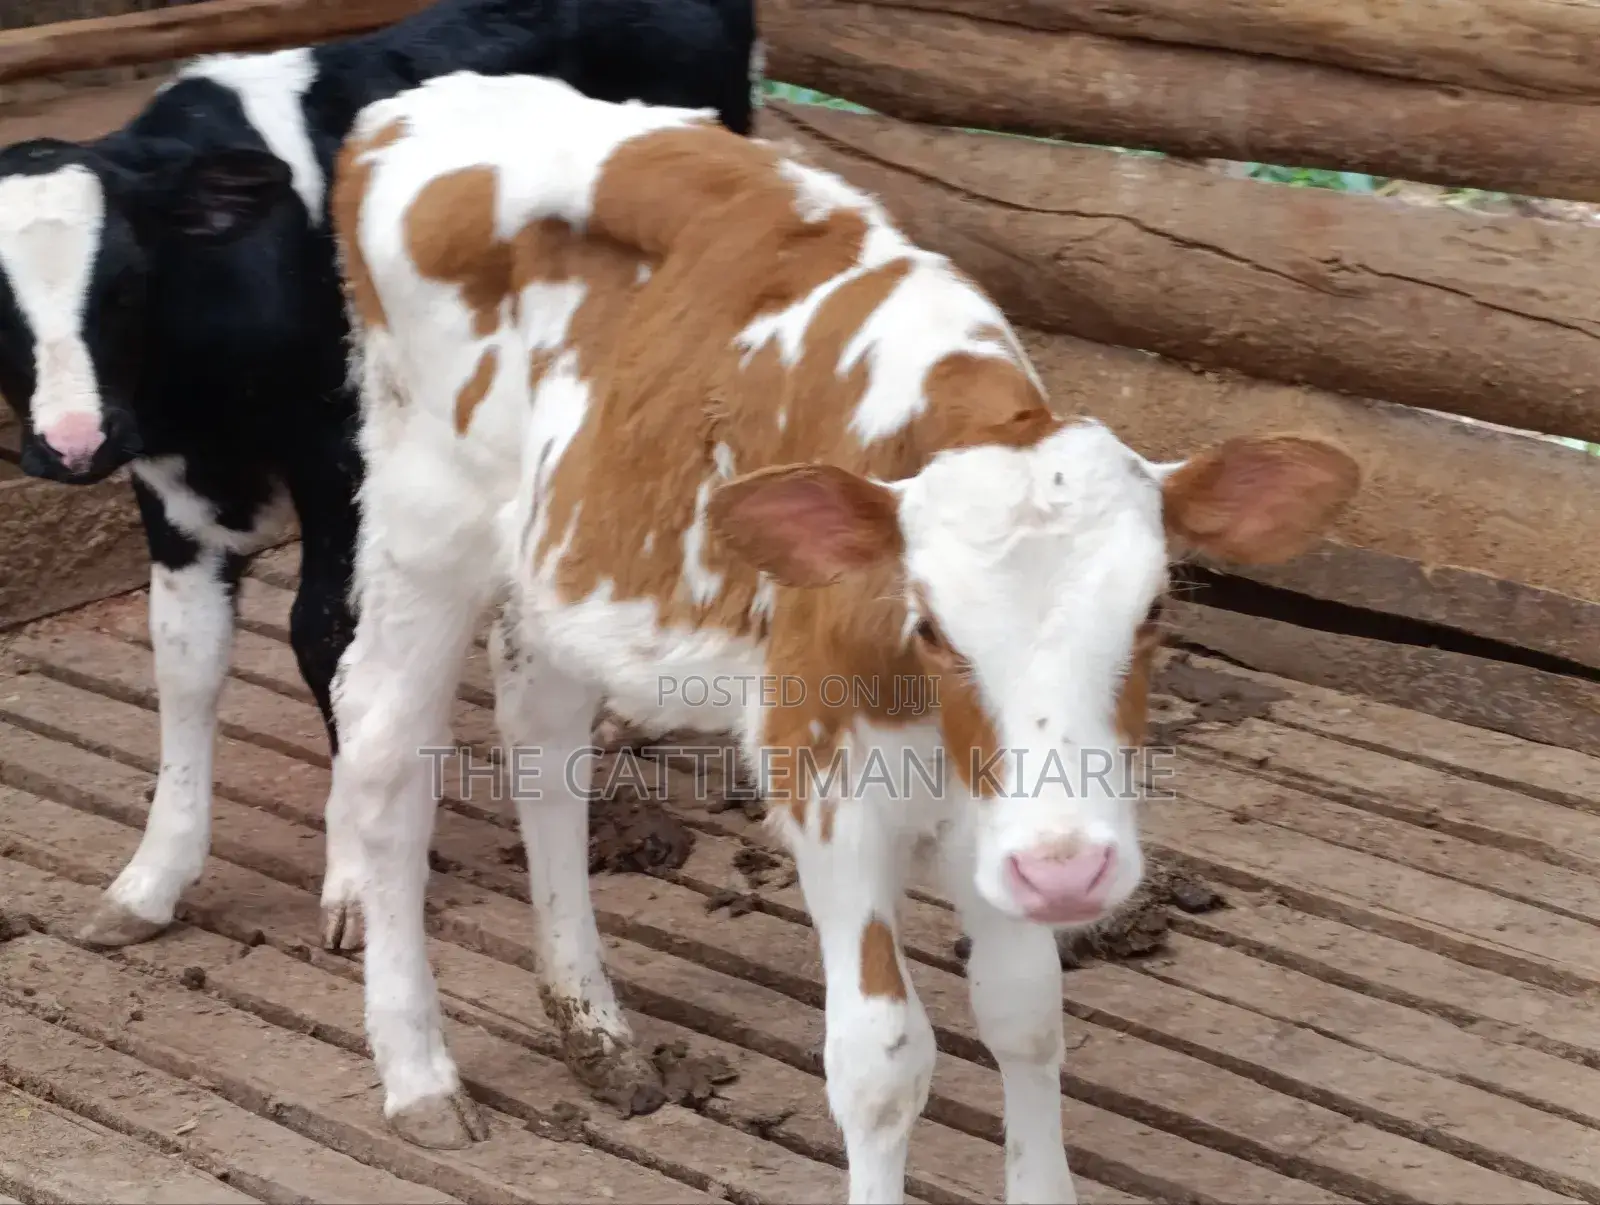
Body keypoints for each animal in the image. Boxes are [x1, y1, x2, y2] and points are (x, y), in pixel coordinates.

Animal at [0, 0, 758, 957]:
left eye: (127, 285)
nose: (71, 441)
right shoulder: (171, 482)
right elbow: (185, 654)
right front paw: (148, 883)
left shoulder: (342, 459)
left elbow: (326, 636)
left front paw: (357, 882)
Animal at [328, 71, 1360, 1186]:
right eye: (932, 623)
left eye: (1156, 607)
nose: (1069, 868)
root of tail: (416, 102)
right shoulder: (824, 779)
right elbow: (881, 1060)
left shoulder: (993, 805)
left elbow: (1027, 1015)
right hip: (425, 516)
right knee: (383, 748)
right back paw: (417, 1069)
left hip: (560, 551)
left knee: (540, 729)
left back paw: (590, 1021)